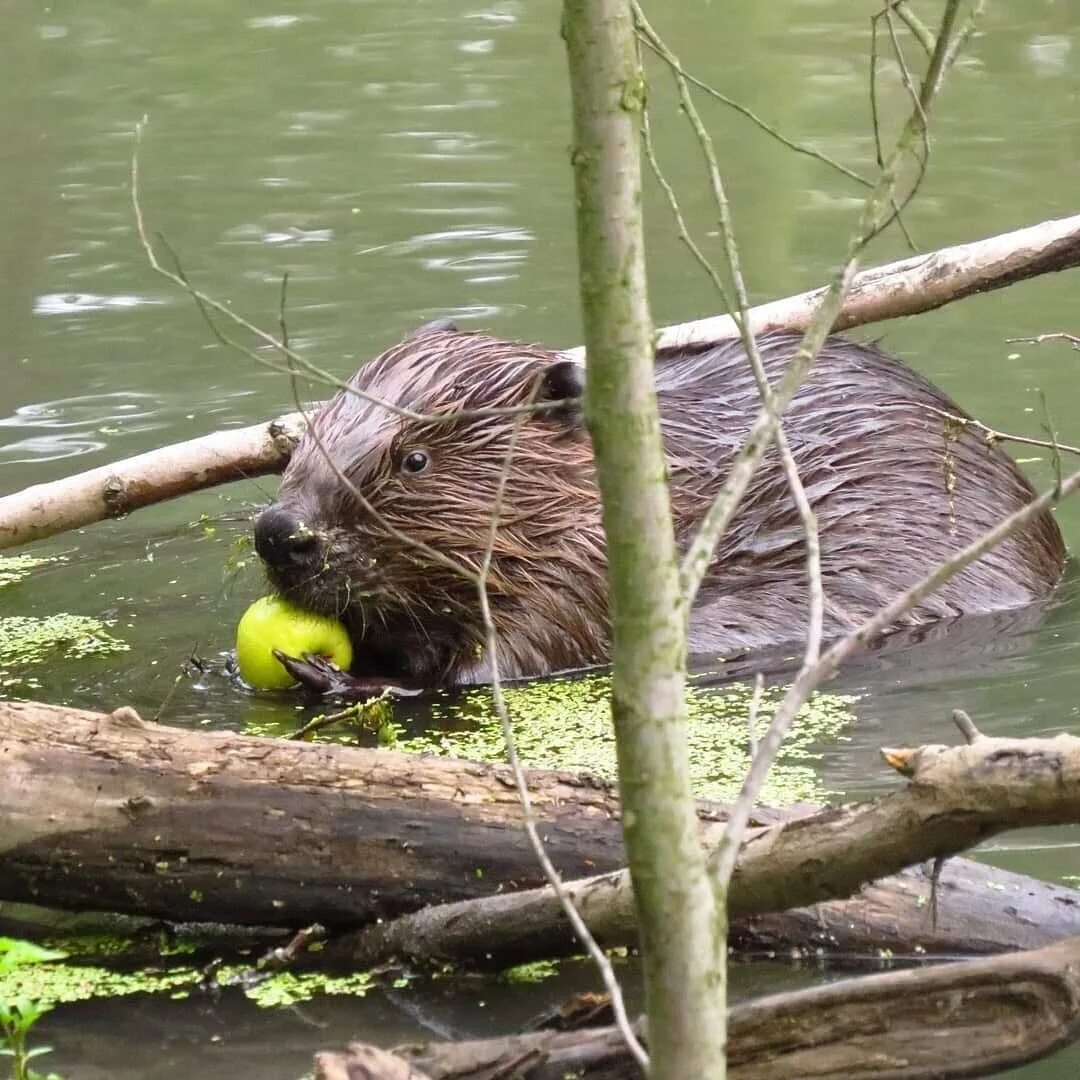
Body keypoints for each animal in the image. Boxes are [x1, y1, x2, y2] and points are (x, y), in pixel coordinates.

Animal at [254, 324, 1071, 686]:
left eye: (415, 459)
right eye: (307, 436)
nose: (280, 532)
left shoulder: (584, 580)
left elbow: (494, 669)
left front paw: (335, 677)